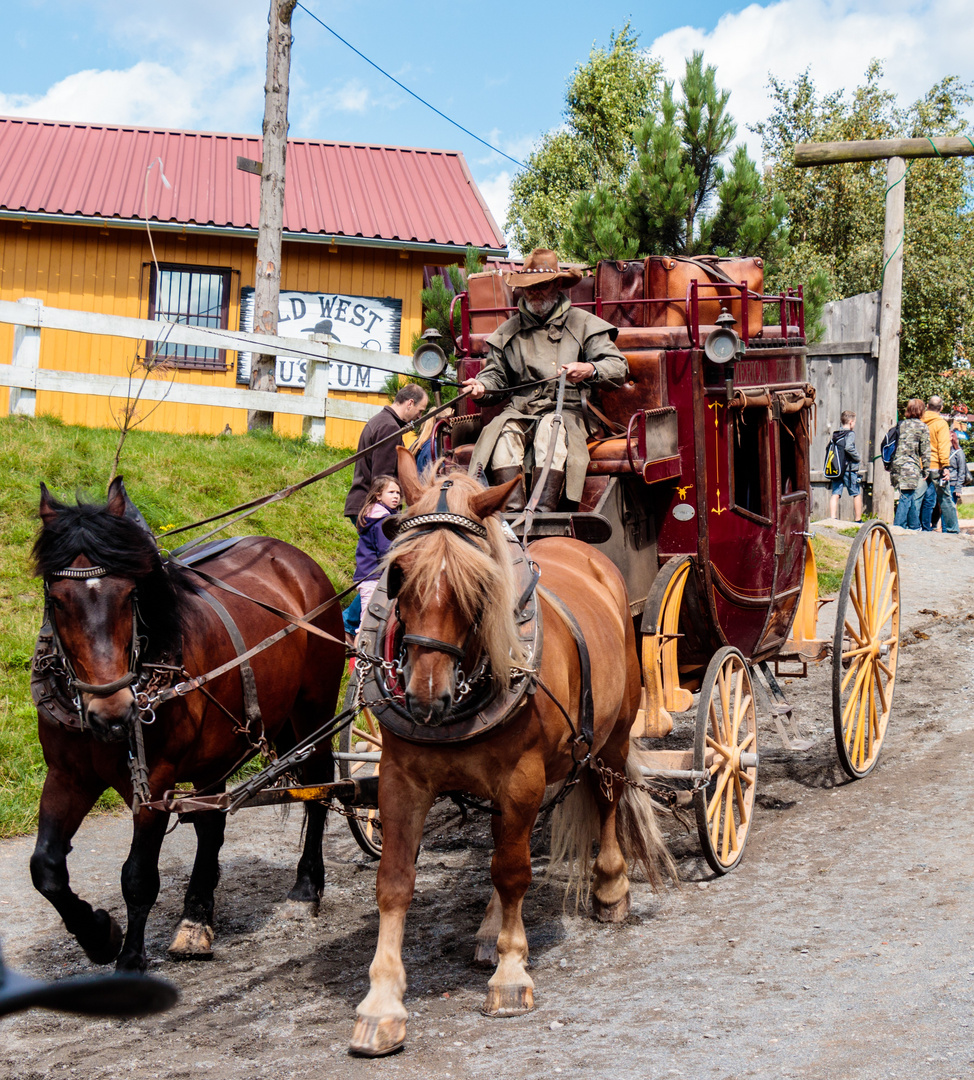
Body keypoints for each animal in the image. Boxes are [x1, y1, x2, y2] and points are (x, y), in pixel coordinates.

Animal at [30, 479, 345, 972]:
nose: (113, 713)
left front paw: (130, 958)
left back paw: (305, 888)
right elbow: (46, 868)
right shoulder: (68, 775)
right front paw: (98, 935)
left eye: (130, 594)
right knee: (211, 823)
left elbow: (138, 876)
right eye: (57, 599)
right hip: (217, 751)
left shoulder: (155, 784)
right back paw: (196, 918)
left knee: (319, 788)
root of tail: (294, 558)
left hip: (313, 709)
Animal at [347, 447, 673, 1054]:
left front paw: (511, 972)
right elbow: (396, 881)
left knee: (607, 800)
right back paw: (488, 928)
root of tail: (577, 546)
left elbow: (514, 871)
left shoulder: (521, 774)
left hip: (613, 735)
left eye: (479, 585)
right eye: (398, 574)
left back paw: (610, 887)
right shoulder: (401, 778)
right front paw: (382, 1004)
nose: (426, 698)